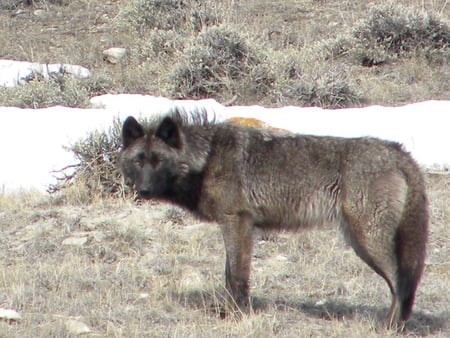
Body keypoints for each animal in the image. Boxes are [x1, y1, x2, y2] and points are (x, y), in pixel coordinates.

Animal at [119, 109, 428, 328]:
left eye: (159, 161)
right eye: (139, 161)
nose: (143, 190)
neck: (207, 160)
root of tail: (399, 152)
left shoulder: (237, 223)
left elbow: (238, 277)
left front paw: (237, 315)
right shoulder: (238, 226)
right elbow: (229, 275)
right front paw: (230, 313)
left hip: (366, 242)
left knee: (401, 282)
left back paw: (389, 327)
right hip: (360, 241)